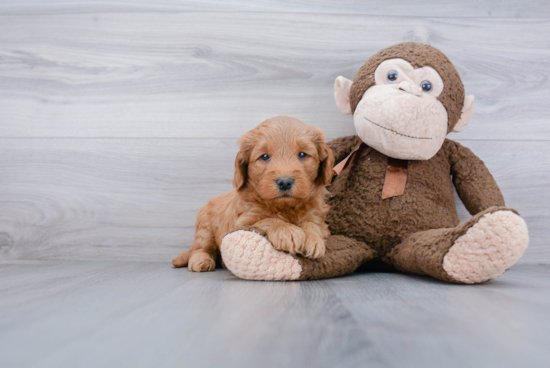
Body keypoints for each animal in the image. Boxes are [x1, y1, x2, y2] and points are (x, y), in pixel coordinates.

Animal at [174, 116, 336, 272]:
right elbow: (267, 219)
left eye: (302, 154)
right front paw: (288, 231)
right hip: (205, 229)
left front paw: (312, 239)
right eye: (264, 157)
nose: (284, 182)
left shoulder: (319, 219)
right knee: (200, 248)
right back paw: (201, 261)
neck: (285, 207)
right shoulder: (243, 221)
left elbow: (312, 224)